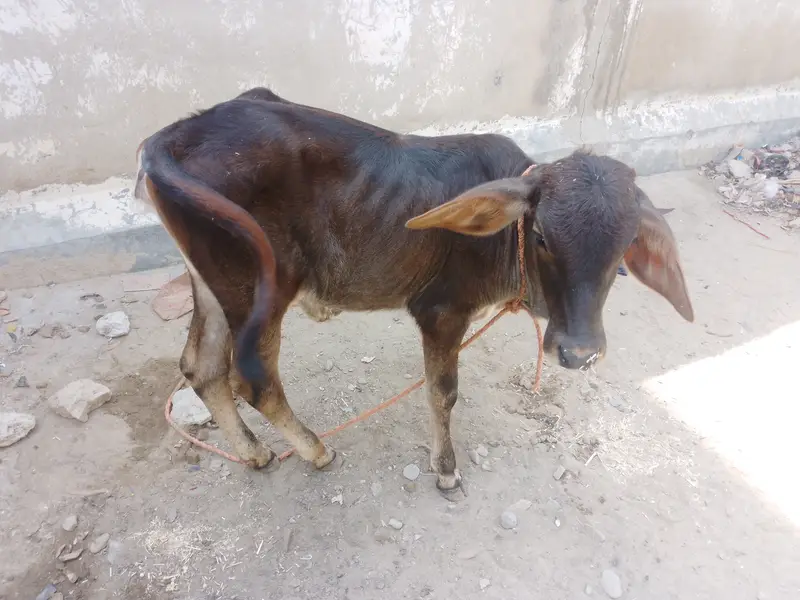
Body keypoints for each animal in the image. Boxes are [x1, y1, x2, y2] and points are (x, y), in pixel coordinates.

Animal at [134, 87, 694, 497]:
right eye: (541, 237)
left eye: (625, 248)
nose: (579, 353)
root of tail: (176, 134)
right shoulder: (442, 311)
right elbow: (442, 393)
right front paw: (446, 468)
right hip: (262, 289)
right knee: (254, 381)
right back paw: (316, 450)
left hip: (212, 285)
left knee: (201, 369)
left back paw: (255, 452)